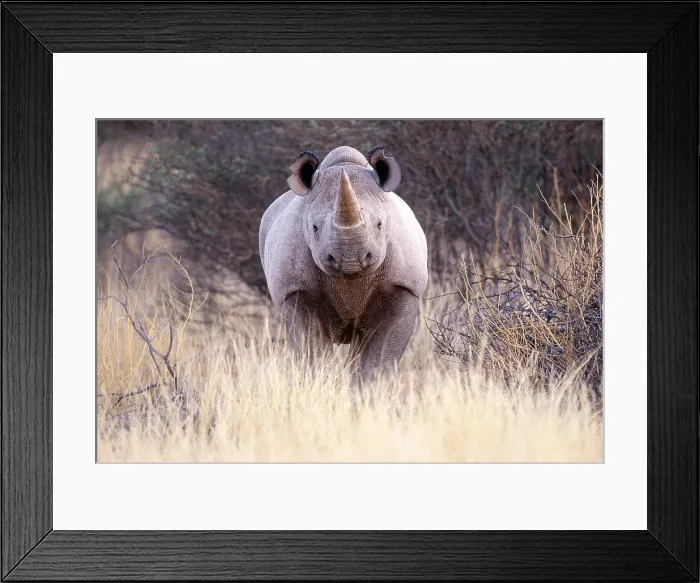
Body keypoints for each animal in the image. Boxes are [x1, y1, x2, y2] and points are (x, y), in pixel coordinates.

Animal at [259, 145, 428, 386]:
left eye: (379, 224)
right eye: (314, 227)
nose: (350, 258)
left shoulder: (405, 287)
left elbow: (380, 362)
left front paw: (372, 392)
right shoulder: (294, 290)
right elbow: (313, 356)